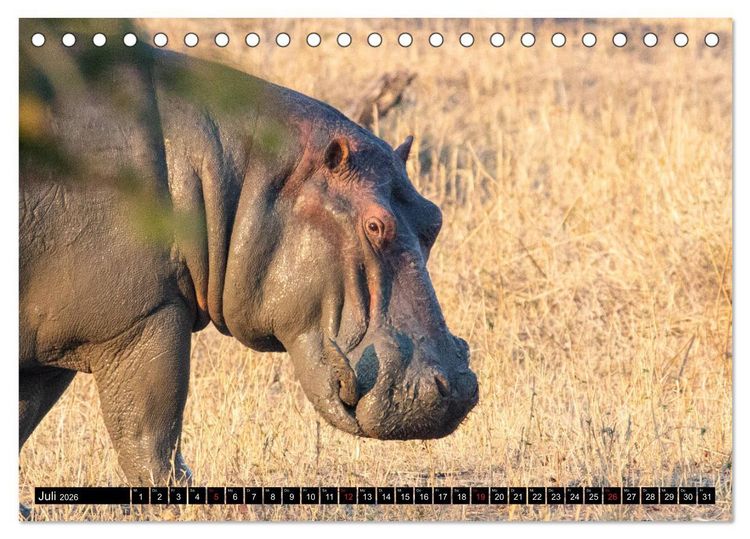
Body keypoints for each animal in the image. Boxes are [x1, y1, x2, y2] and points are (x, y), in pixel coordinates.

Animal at [19, 29, 478, 487]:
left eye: (435, 217)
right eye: (375, 225)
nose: (454, 390)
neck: (234, 174)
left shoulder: (54, 346)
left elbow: (23, 424)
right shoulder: (141, 320)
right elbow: (151, 441)